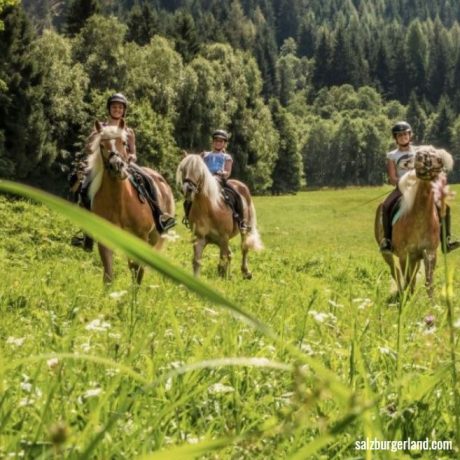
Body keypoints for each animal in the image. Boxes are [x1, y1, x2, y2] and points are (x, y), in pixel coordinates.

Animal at [85, 118, 174, 284]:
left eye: (124, 142)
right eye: (102, 145)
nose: (117, 166)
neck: (119, 203)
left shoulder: (141, 237)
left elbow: (138, 269)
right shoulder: (105, 237)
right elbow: (108, 274)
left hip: (153, 237)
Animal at [376, 145, 454, 298]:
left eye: (438, 159)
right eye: (418, 155)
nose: (420, 159)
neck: (419, 219)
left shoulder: (429, 253)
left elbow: (429, 282)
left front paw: (431, 302)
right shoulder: (404, 256)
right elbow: (408, 279)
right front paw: (408, 299)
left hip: (416, 258)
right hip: (388, 254)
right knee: (395, 271)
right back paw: (401, 292)